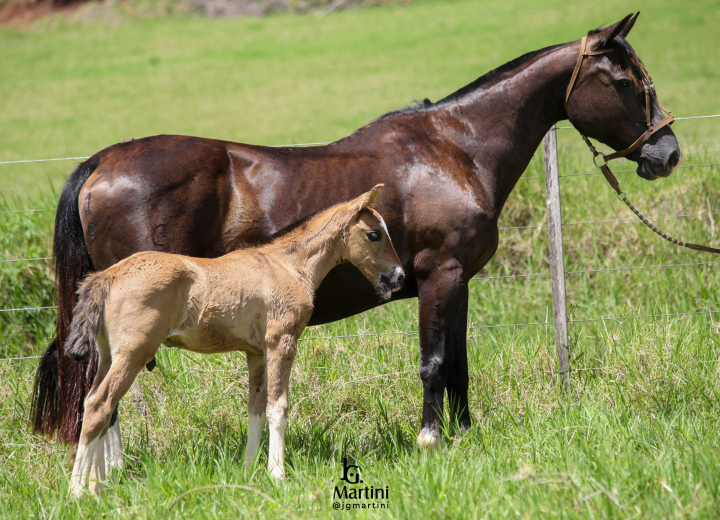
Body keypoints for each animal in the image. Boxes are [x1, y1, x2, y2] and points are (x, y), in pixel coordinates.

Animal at [64, 186, 402, 496]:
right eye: (374, 234)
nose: (397, 277)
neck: (288, 266)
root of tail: (108, 276)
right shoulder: (282, 343)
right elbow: (278, 407)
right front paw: (277, 474)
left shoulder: (256, 353)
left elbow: (255, 408)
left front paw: (249, 469)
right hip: (133, 353)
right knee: (100, 405)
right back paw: (78, 492)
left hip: (109, 355)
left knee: (93, 403)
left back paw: (97, 486)